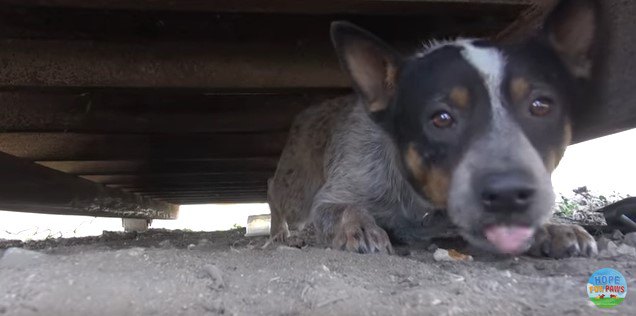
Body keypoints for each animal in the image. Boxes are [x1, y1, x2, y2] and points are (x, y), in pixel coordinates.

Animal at [268, 0, 600, 258]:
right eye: (441, 118)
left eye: (541, 106)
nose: (507, 192)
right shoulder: (333, 196)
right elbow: (344, 208)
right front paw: (360, 228)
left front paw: (552, 227)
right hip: (295, 186)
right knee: (276, 194)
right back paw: (281, 234)